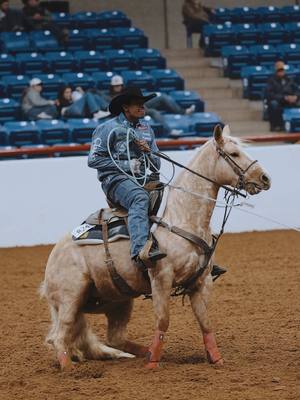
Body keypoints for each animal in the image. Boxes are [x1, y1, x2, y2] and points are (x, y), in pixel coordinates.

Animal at [39, 124, 272, 368]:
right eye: (234, 154)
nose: (265, 178)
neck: (182, 220)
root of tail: (55, 254)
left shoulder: (201, 282)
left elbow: (205, 323)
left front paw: (216, 360)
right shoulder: (161, 279)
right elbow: (163, 321)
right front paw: (153, 363)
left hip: (117, 300)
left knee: (115, 338)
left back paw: (141, 352)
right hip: (70, 297)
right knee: (59, 336)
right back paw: (70, 367)